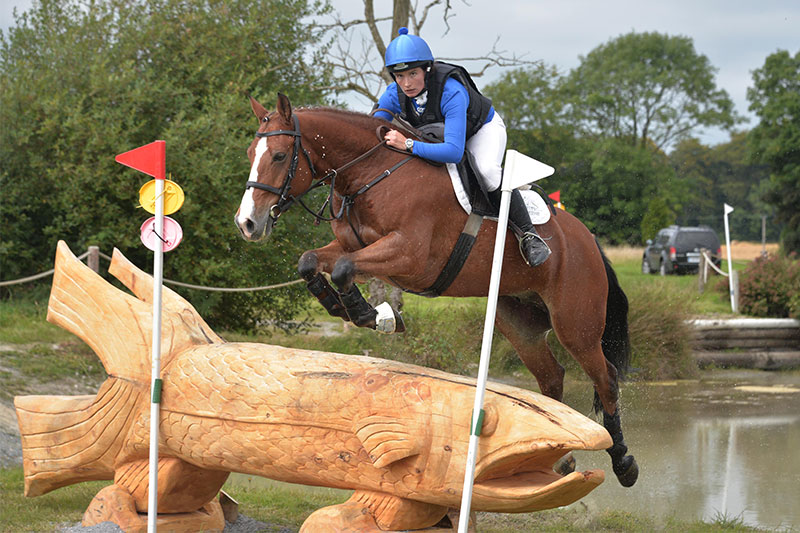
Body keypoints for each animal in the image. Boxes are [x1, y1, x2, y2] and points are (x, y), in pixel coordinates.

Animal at [234, 92, 640, 486]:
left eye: (280, 155)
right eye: (250, 154)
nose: (247, 224)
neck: (371, 174)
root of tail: (587, 239)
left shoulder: (410, 257)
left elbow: (346, 269)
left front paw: (375, 316)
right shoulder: (350, 247)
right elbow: (311, 262)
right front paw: (355, 311)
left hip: (575, 324)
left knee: (606, 378)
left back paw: (624, 462)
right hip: (518, 321)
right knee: (552, 377)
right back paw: (562, 457)